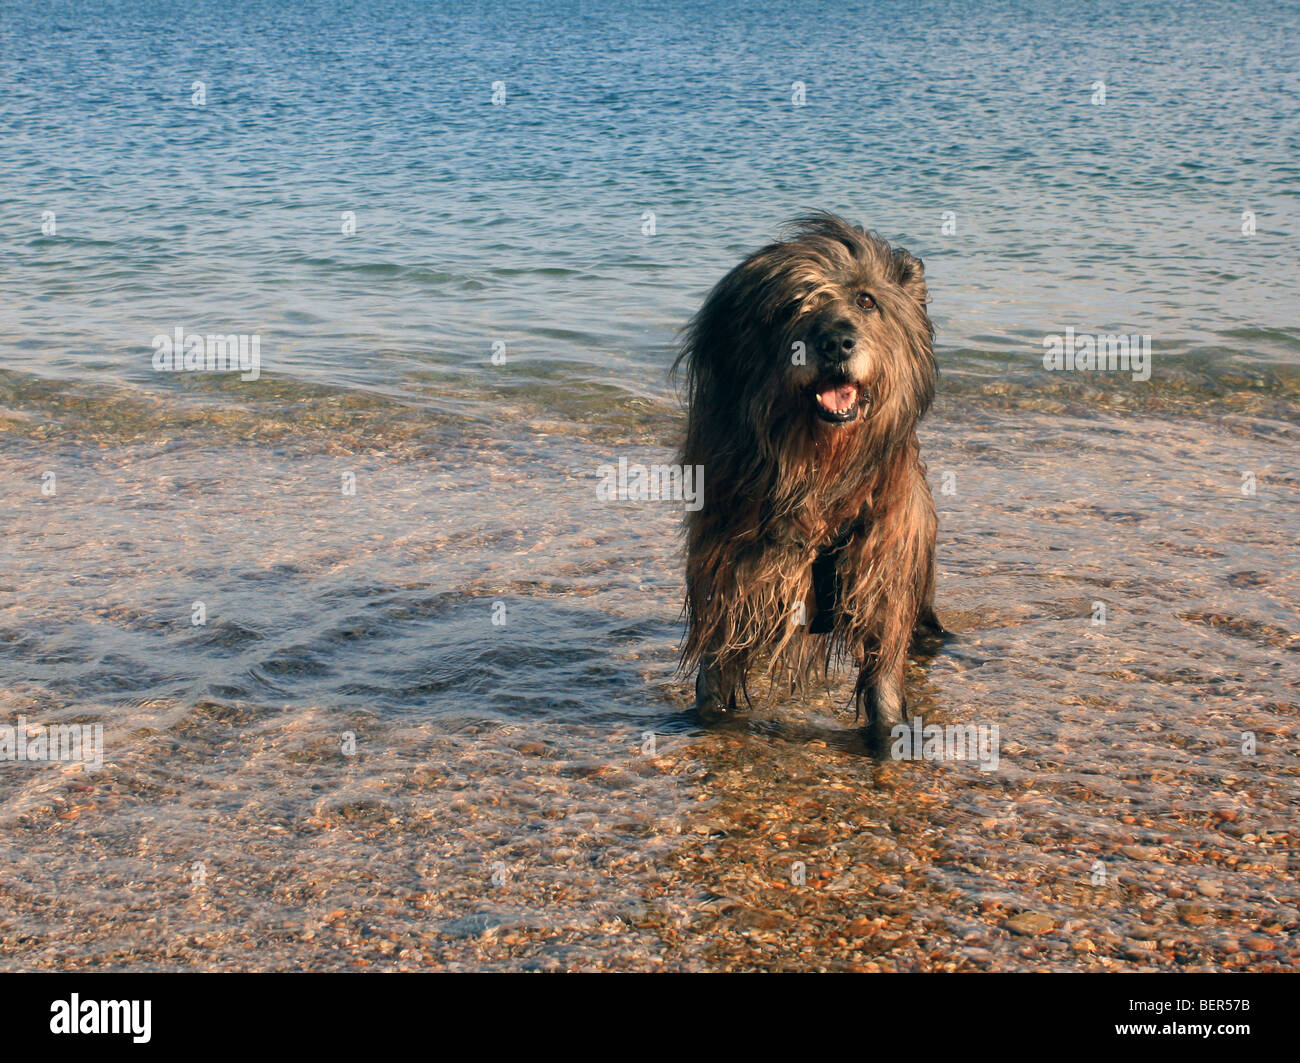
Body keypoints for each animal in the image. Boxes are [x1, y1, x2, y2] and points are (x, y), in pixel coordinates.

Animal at [676, 213, 941, 743]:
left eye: (866, 300)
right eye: (788, 308)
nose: (837, 342)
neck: (817, 469)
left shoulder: (882, 575)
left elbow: (884, 686)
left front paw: (890, 742)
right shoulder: (728, 579)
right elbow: (714, 675)